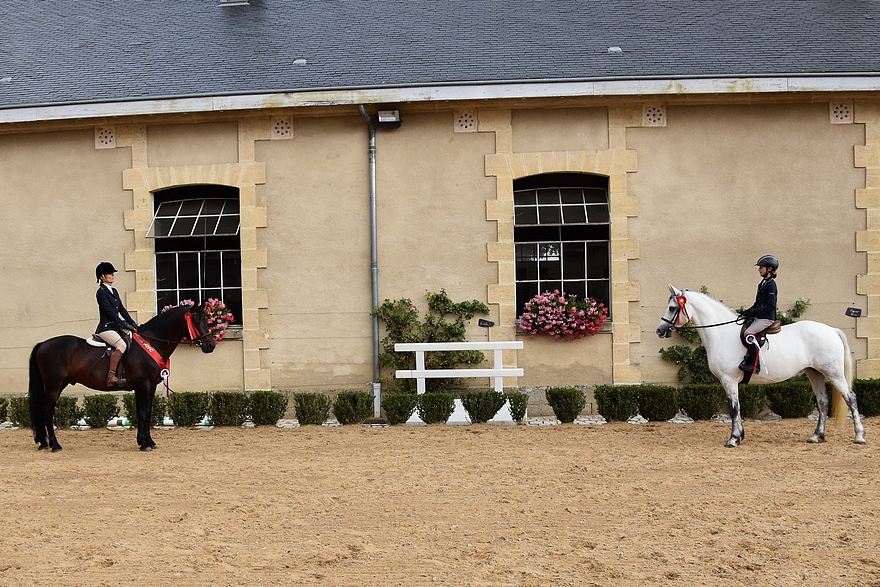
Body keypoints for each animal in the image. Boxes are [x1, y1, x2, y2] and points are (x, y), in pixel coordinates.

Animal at [28, 306, 215, 452]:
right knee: (47, 411)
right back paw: (55, 445)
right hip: (54, 384)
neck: (151, 343)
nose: (211, 345)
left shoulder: (151, 386)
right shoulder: (142, 385)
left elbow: (147, 412)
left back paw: (44, 443)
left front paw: (148, 441)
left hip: (59, 384)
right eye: (196, 321)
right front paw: (144, 443)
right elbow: (142, 412)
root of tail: (43, 344)